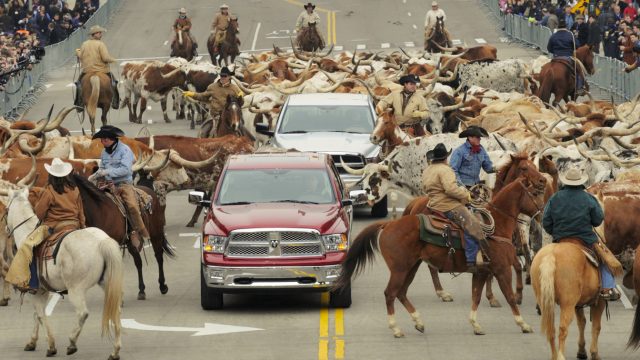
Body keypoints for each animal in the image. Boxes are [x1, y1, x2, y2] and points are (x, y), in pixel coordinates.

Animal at [3, 187, 124, 358]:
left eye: (7, 210)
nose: (6, 229)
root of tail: (102, 242)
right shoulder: (42, 291)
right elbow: (37, 315)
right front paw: (32, 342)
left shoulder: (35, 292)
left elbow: (40, 315)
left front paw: (51, 346)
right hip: (108, 284)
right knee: (116, 311)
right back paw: (115, 351)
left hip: (76, 290)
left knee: (82, 313)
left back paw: (72, 342)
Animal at [332, 177, 548, 338]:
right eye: (535, 193)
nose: (543, 212)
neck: (497, 226)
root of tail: (388, 224)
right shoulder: (502, 270)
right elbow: (510, 297)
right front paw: (523, 324)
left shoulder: (480, 272)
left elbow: (476, 297)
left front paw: (475, 325)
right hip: (400, 269)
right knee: (390, 293)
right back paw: (396, 328)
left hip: (411, 267)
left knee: (401, 293)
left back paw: (418, 322)